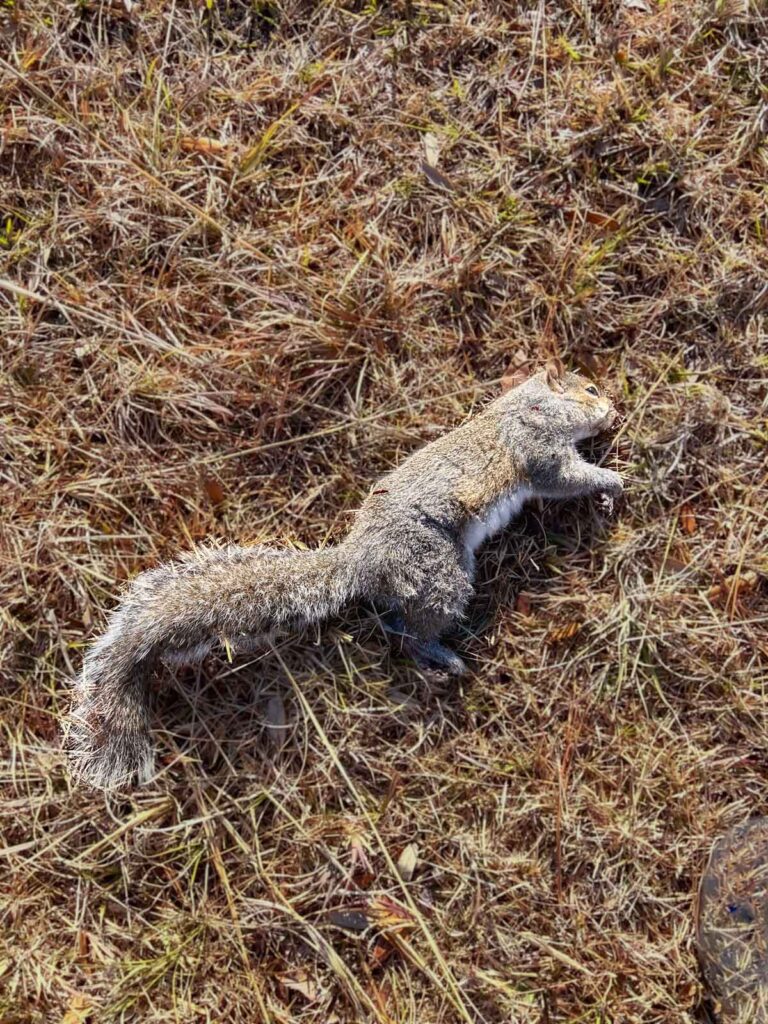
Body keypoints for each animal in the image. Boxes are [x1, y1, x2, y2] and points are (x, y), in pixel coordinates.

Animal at [66, 362, 622, 789]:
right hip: (439, 570)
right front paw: (613, 480)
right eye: (590, 390)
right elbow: (563, 477)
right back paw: (444, 657)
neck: (528, 406)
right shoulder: (536, 449)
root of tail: (363, 560)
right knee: (414, 631)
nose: (614, 412)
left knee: (397, 622)